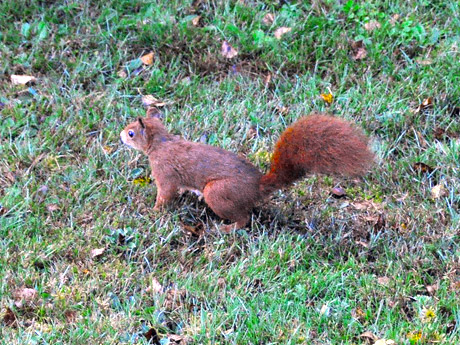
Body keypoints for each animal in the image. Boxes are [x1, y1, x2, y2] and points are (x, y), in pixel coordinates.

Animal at [119, 111, 374, 230]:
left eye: (131, 133)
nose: (120, 136)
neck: (161, 143)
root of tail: (257, 187)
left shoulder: (164, 172)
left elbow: (165, 194)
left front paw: (153, 211)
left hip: (218, 193)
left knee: (244, 219)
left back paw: (226, 229)